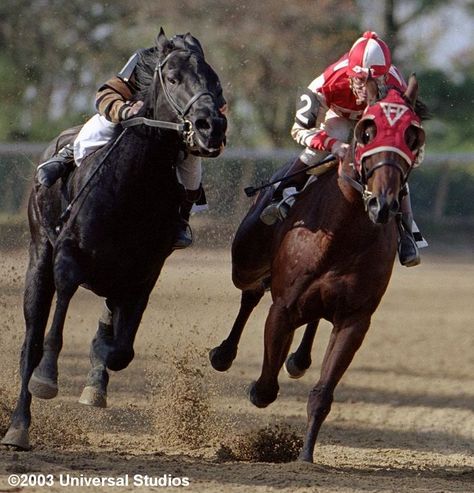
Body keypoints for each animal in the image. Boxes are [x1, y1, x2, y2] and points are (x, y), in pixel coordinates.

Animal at [1, 28, 227, 448]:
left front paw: (96, 377)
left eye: (215, 82)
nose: (211, 127)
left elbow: (120, 350)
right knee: (31, 341)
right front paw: (47, 378)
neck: (131, 189)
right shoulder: (67, 255)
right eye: (173, 78)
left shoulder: (144, 273)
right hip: (38, 254)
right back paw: (18, 426)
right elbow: (55, 324)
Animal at [211, 76, 426, 462]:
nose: (383, 204)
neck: (344, 233)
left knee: (309, 320)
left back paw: (298, 358)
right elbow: (265, 389)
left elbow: (322, 393)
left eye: (412, 135)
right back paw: (223, 353)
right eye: (367, 130)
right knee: (251, 293)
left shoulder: (355, 319)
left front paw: (306, 455)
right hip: (246, 260)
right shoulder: (283, 307)